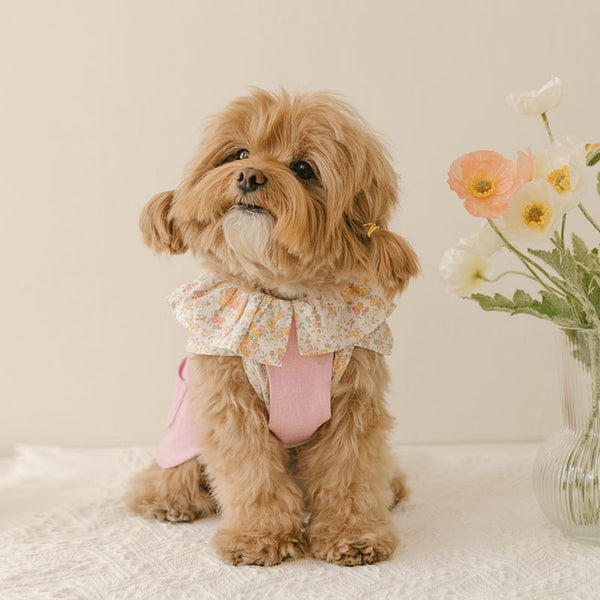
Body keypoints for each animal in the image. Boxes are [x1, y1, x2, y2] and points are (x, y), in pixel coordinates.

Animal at [126, 90, 418, 568]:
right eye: (240, 153)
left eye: (303, 169)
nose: (248, 175)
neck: (288, 303)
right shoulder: (231, 406)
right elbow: (253, 475)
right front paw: (258, 537)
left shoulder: (353, 406)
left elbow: (350, 476)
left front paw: (353, 535)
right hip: (184, 433)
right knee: (171, 470)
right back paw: (167, 499)